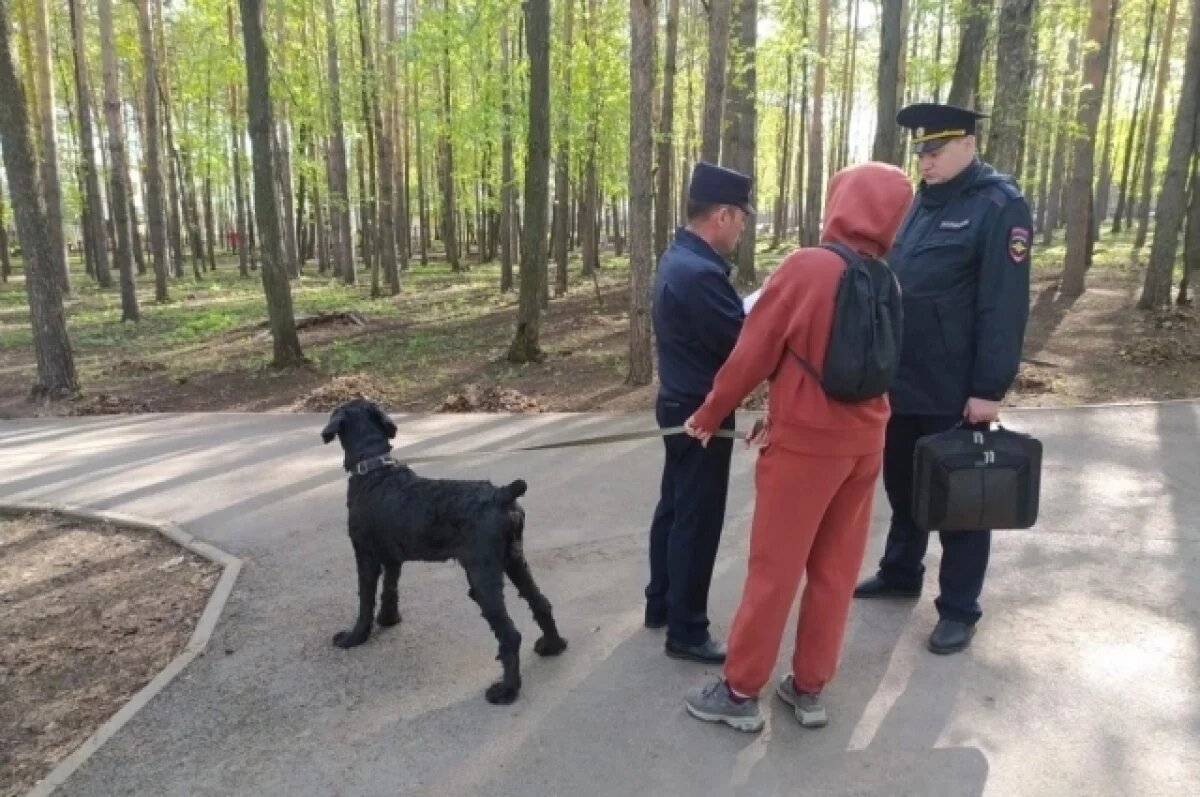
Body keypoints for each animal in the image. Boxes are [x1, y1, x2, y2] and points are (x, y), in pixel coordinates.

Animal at [321, 398, 568, 705]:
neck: (375, 469)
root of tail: (502, 494)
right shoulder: (392, 559)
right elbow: (390, 590)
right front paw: (389, 620)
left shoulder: (366, 557)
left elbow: (365, 600)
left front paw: (354, 637)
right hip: (515, 561)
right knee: (541, 603)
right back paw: (553, 645)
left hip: (482, 576)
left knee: (510, 634)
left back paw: (506, 690)